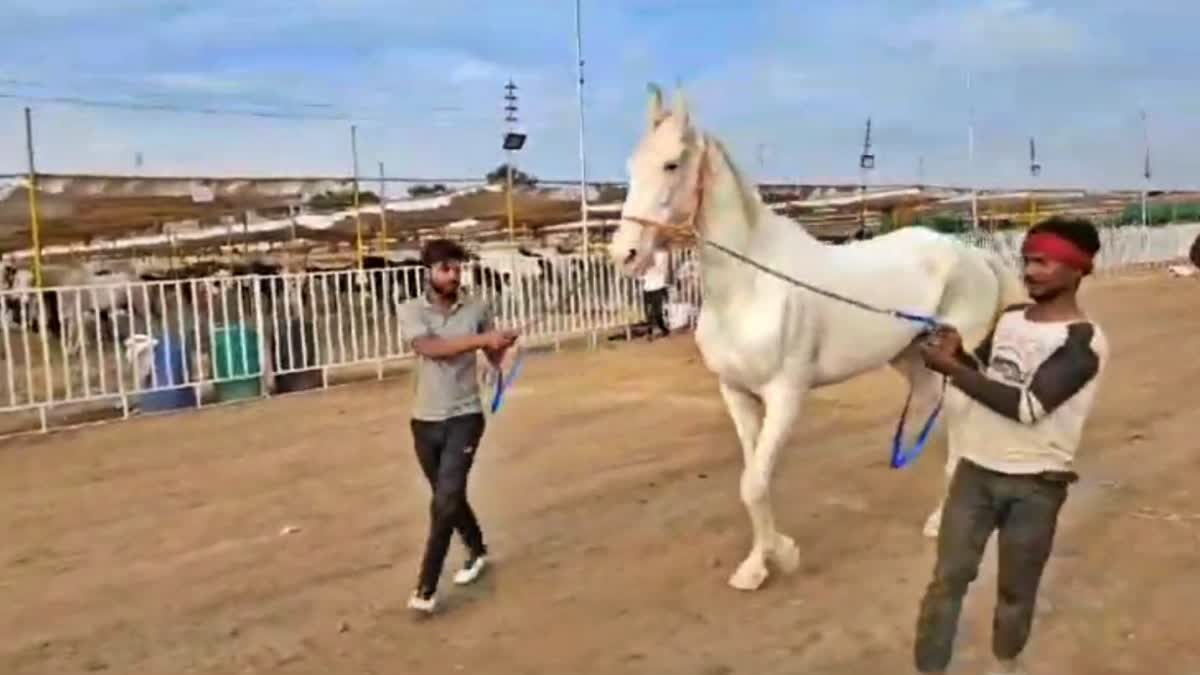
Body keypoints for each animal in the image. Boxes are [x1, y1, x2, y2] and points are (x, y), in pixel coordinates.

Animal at [609, 84, 1022, 588]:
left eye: (671, 163)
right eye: (631, 164)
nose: (625, 254)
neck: (749, 286)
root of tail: (971, 254)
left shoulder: (786, 395)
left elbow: (753, 483)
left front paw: (781, 556)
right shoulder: (736, 394)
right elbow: (752, 480)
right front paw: (758, 563)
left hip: (956, 363)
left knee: (961, 435)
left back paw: (938, 522)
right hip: (911, 358)